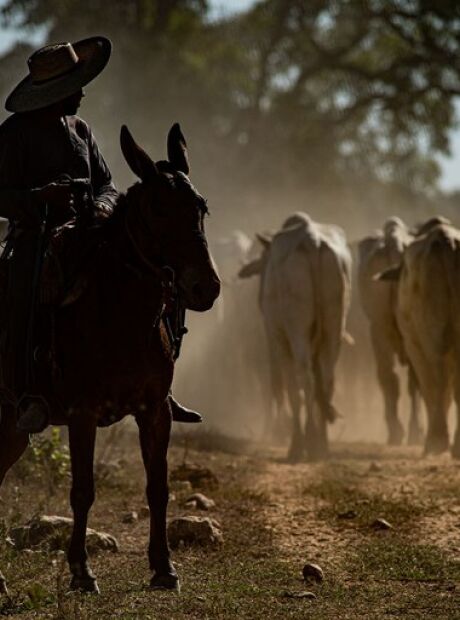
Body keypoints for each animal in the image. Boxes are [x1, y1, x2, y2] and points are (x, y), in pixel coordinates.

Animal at [0, 123, 221, 592]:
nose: (206, 287)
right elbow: (83, 490)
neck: (119, 314)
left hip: (11, 426)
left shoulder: (155, 411)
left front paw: (164, 567)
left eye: (201, 207)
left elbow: (159, 487)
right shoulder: (82, 413)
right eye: (156, 208)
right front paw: (81, 571)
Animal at [239, 213, 350, 460]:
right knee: (326, 380)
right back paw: (321, 445)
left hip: (295, 330)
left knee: (303, 380)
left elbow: (285, 386)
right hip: (334, 328)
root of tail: (312, 241)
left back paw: (301, 443)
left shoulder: (276, 337)